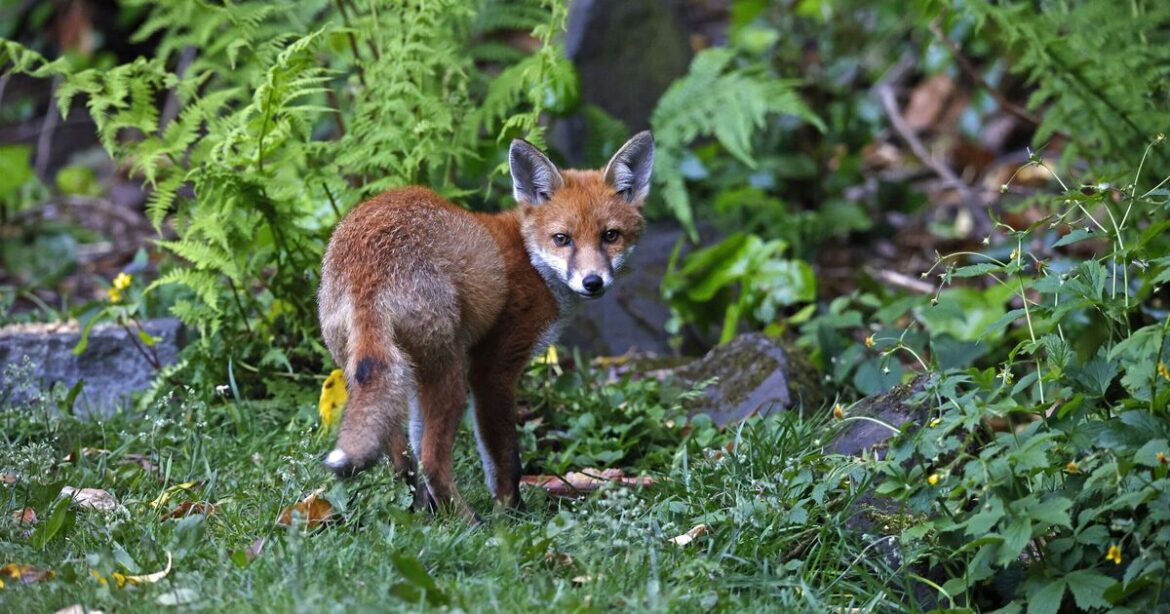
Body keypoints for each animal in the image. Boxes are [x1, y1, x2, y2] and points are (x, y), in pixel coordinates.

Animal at [317, 132, 654, 519]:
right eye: (562, 239)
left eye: (610, 236)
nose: (593, 282)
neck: (531, 261)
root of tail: (368, 269)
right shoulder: (492, 369)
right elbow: (506, 459)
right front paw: (512, 514)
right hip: (449, 377)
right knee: (431, 460)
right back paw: (468, 522)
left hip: (392, 374)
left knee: (403, 458)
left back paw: (421, 511)